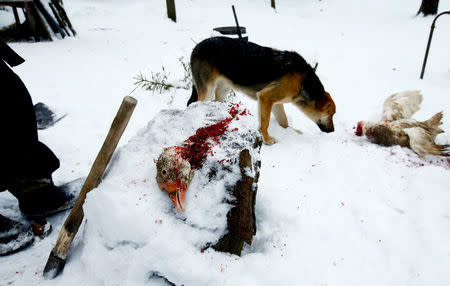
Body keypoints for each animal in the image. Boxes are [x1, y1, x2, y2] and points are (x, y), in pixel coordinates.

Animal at [185, 37, 336, 145]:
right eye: (331, 114)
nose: (333, 131)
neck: (303, 82)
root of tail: (197, 47)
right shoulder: (266, 98)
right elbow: (265, 122)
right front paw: (267, 139)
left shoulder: (276, 102)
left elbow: (284, 121)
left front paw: (291, 131)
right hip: (207, 90)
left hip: (223, 89)